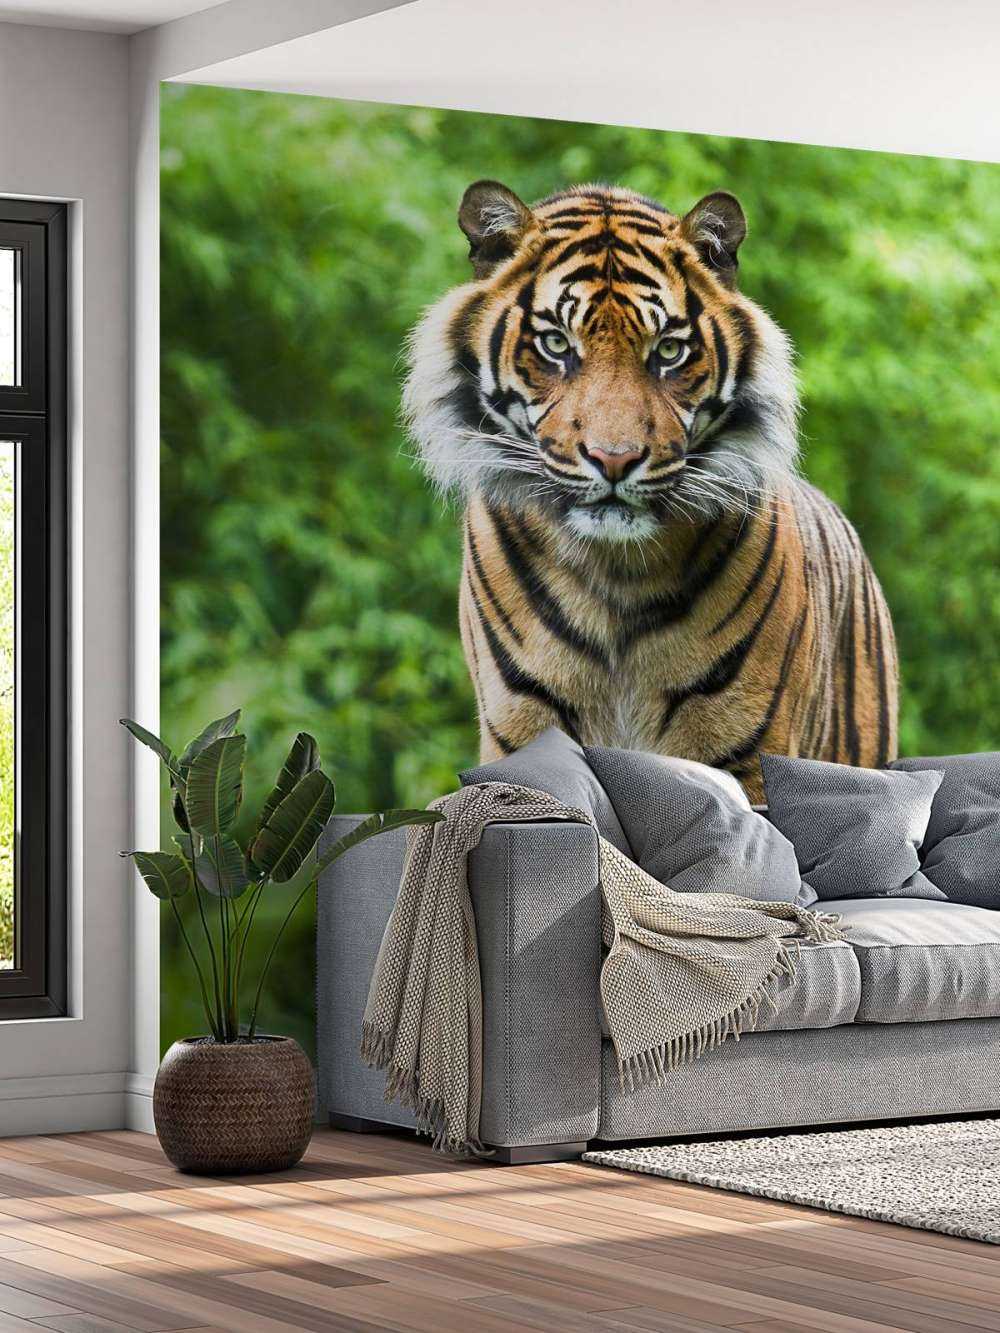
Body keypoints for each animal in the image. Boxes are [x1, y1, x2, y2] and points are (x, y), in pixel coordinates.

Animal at [402, 180, 899, 801]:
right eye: (555, 344)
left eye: (668, 351)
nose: (614, 459)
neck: (615, 576)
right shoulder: (519, 728)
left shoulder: (745, 754)